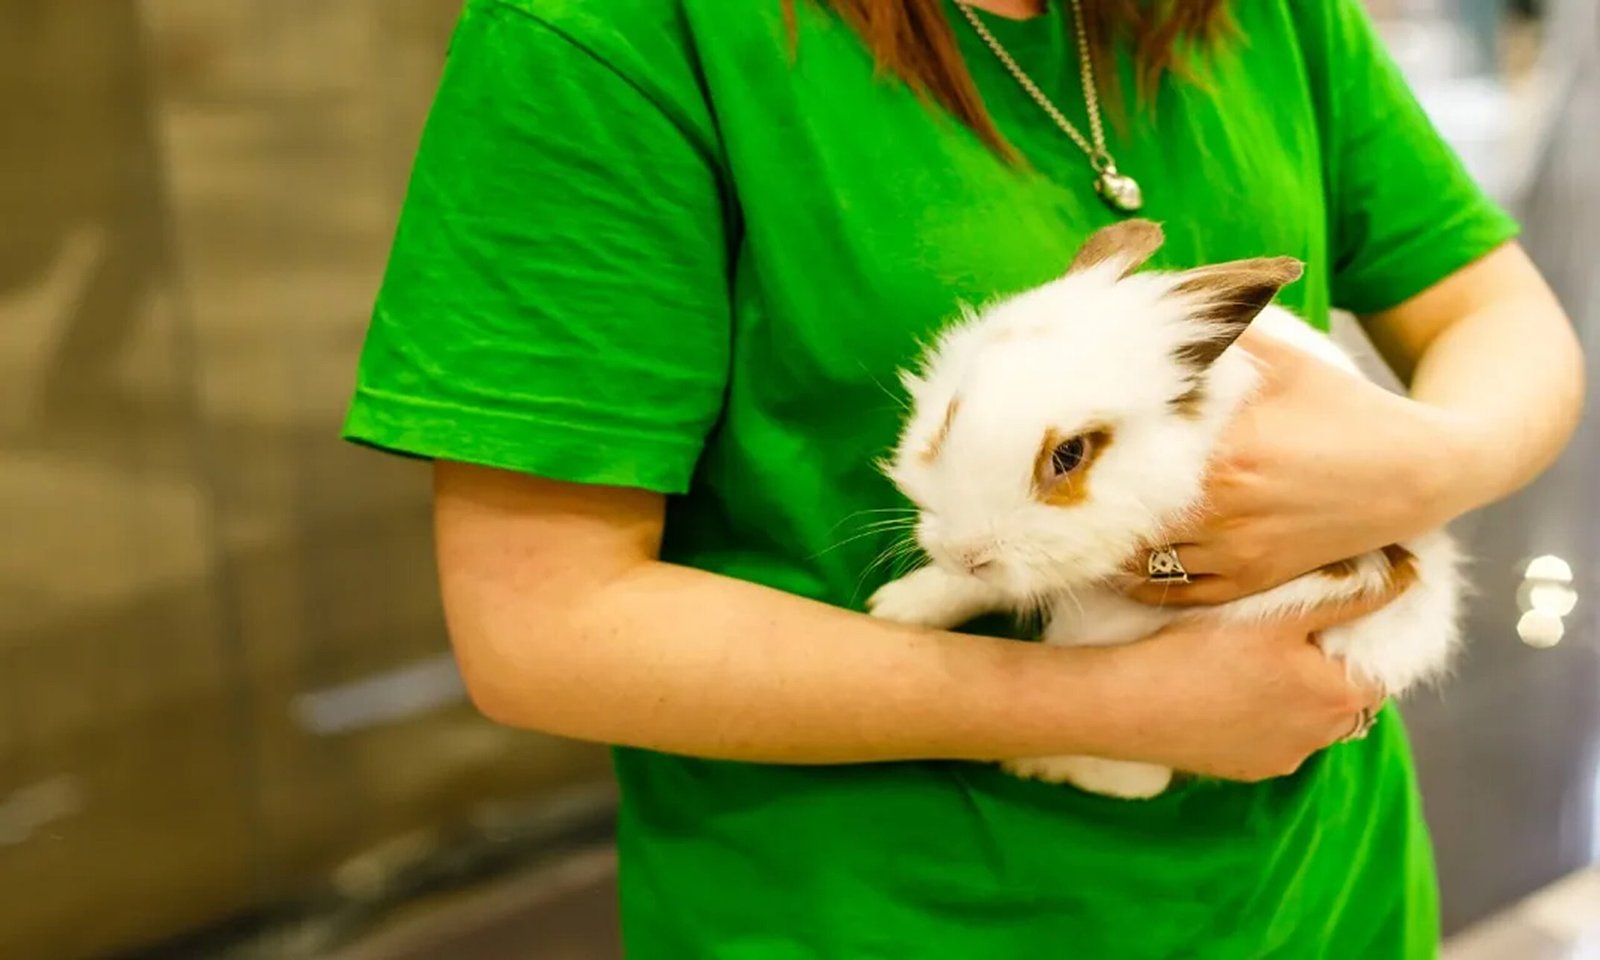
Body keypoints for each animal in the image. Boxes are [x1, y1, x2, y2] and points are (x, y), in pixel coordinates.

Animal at [868, 219, 1463, 800]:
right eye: (947, 417)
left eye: (1070, 453)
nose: (967, 552)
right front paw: (895, 609)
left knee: (1141, 778)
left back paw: (1034, 764)